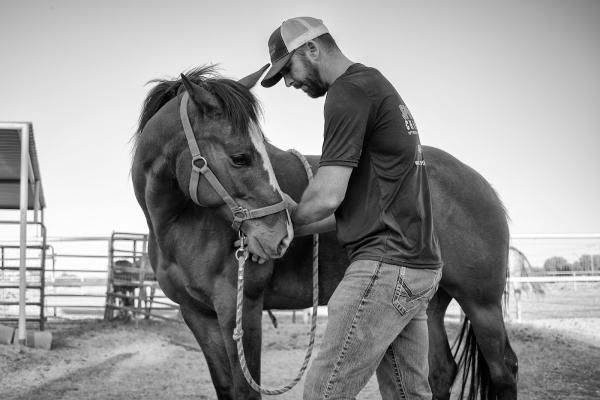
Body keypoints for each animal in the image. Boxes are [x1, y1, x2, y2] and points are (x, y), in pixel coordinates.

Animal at [131, 66, 516, 400]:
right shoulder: (197, 315)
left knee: (504, 367)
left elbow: (244, 391)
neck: (179, 225)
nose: (280, 236)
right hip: (430, 303)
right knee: (441, 371)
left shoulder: (239, 307)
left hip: (481, 303)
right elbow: (225, 388)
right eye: (240, 157)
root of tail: (482, 186)